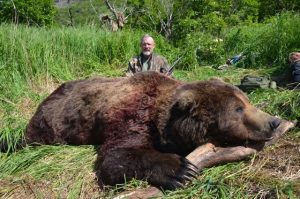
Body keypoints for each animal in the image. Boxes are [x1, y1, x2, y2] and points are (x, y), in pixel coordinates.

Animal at [23, 71, 282, 190]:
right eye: (238, 109)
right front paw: (181, 169)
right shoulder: (132, 115)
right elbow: (116, 156)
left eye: (247, 101)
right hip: (50, 121)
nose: (274, 122)